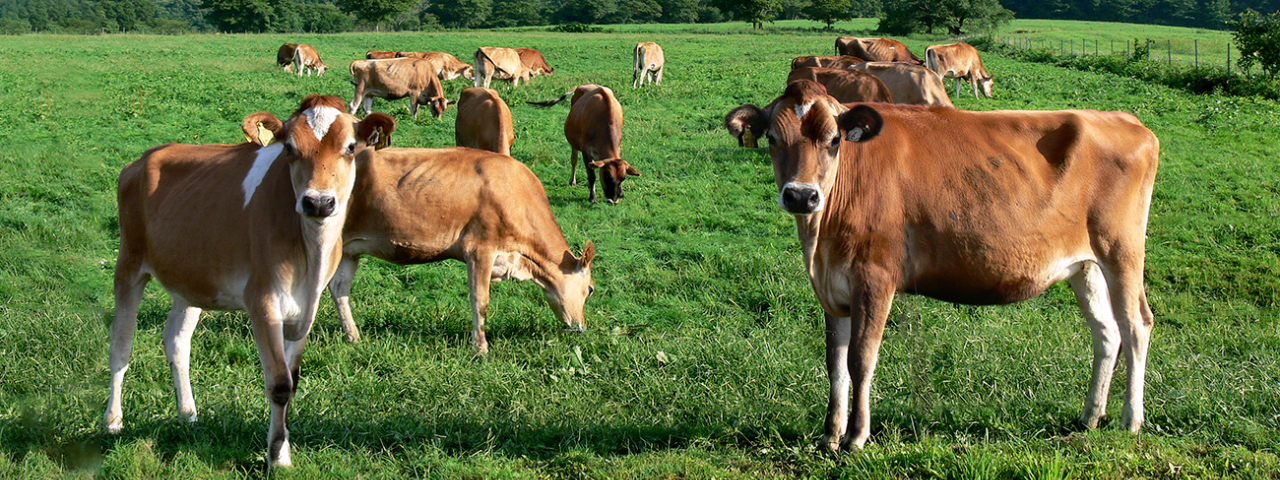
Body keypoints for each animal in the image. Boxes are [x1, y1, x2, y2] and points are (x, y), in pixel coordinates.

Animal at [110, 94, 399, 471]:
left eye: (351, 147)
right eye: (289, 148)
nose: (318, 202)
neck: (310, 252)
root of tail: (145, 157)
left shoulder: (306, 307)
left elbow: (293, 379)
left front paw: (284, 447)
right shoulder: (262, 300)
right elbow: (278, 383)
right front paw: (276, 457)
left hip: (191, 278)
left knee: (176, 340)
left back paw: (188, 414)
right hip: (129, 262)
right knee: (120, 346)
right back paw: (113, 421)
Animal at [325, 146, 593, 353]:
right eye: (590, 289)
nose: (582, 327)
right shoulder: (480, 249)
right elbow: (480, 300)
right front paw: (480, 348)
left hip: (349, 250)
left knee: (339, 288)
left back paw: (353, 336)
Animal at [732, 79, 1162, 455]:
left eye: (834, 140)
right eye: (772, 139)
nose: (802, 195)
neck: (820, 240)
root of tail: (1124, 119)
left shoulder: (874, 276)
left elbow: (860, 358)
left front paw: (856, 437)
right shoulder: (832, 287)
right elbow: (834, 364)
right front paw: (829, 436)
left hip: (1121, 248)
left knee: (1135, 325)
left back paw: (1130, 419)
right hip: (1085, 265)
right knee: (1106, 332)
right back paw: (1090, 416)